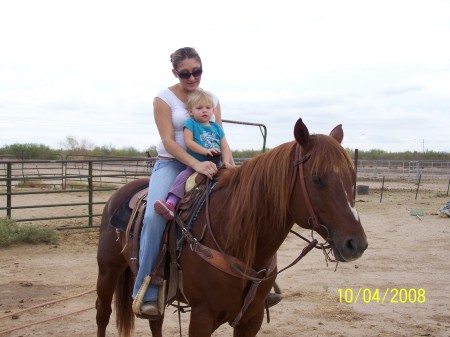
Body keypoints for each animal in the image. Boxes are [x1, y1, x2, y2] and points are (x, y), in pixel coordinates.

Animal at [96, 118, 370, 336]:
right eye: (316, 178)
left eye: (352, 178)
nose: (356, 244)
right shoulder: (202, 318)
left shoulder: (252, 319)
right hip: (108, 270)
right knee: (102, 315)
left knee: (156, 322)